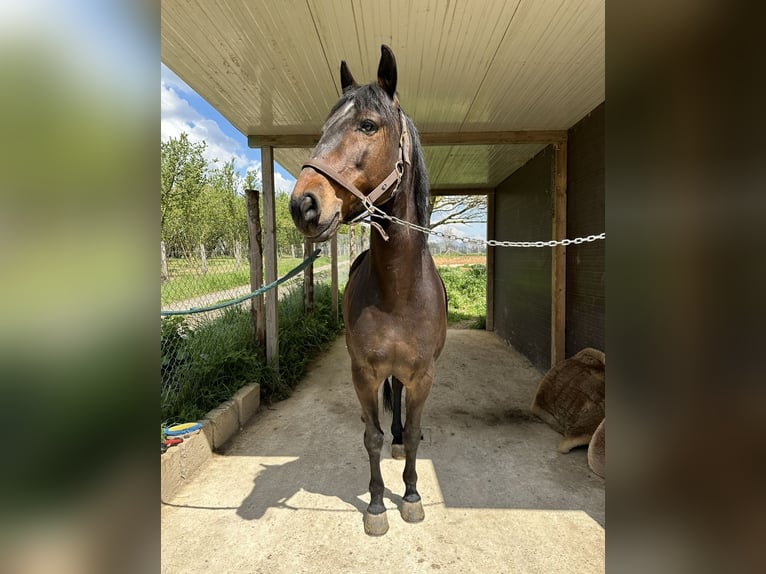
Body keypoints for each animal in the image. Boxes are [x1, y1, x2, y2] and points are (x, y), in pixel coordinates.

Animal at [292, 45, 450, 536]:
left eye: (367, 124)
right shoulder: (362, 372)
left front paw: (412, 496)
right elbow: (370, 436)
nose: (303, 205)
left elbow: (415, 433)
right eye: (323, 129)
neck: (398, 291)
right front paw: (378, 505)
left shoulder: (423, 375)